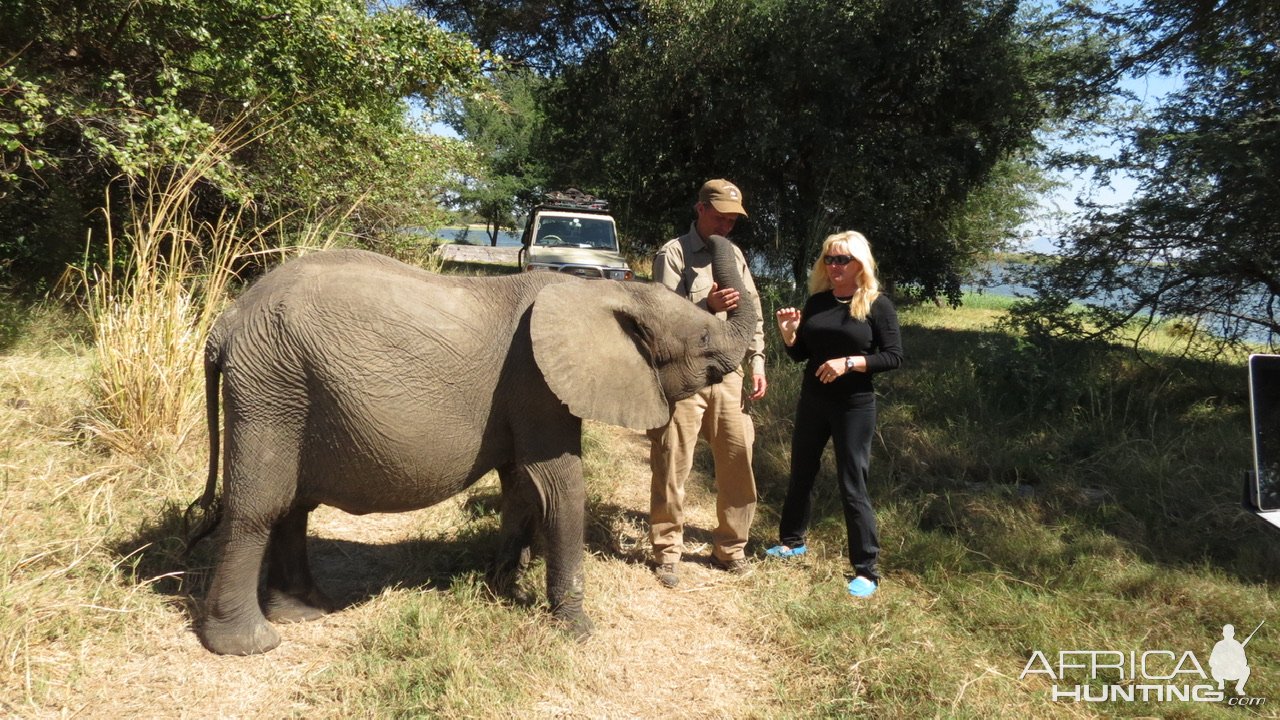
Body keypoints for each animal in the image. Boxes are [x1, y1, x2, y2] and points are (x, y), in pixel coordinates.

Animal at [185, 234, 752, 650]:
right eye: (704, 340)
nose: (719, 223)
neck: (597, 293)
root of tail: (225, 325)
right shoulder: (537, 381)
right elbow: (560, 485)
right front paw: (577, 631)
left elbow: (522, 486)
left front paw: (501, 585)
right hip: (271, 386)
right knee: (258, 508)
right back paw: (249, 644)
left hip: (283, 389)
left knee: (293, 506)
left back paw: (304, 611)